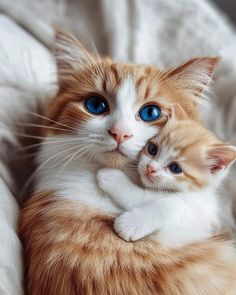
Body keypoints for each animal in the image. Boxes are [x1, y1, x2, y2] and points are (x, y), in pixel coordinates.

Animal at [96, 106, 236, 247]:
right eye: (152, 149)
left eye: (175, 168)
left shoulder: (193, 207)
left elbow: (157, 203)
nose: (150, 168)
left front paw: (129, 224)